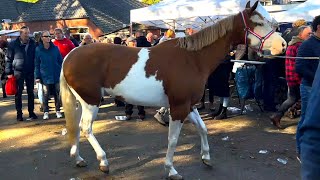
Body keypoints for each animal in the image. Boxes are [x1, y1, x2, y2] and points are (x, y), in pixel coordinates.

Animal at [61, 1, 286, 180]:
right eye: (260, 23)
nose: (282, 45)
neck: (193, 59)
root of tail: (71, 55)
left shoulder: (190, 105)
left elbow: (202, 128)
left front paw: (206, 157)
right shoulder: (178, 107)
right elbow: (173, 139)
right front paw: (171, 169)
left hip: (82, 102)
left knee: (77, 127)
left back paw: (79, 158)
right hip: (92, 101)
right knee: (86, 128)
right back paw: (103, 161)